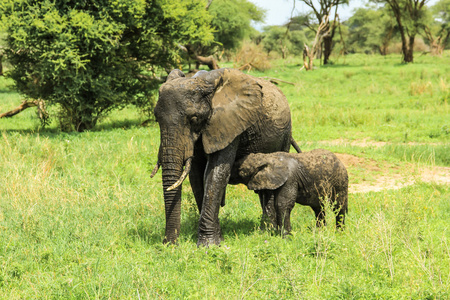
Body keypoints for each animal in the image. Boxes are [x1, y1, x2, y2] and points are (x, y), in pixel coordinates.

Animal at [152, 68, 298, 246]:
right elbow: (196, 176)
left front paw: (208, 245)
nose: (170, 243)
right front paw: (218, 239)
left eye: (194, 118)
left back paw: (268, 231)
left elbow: (215, 172)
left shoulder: (230, 122)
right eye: (156, 119)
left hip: (285, 134)